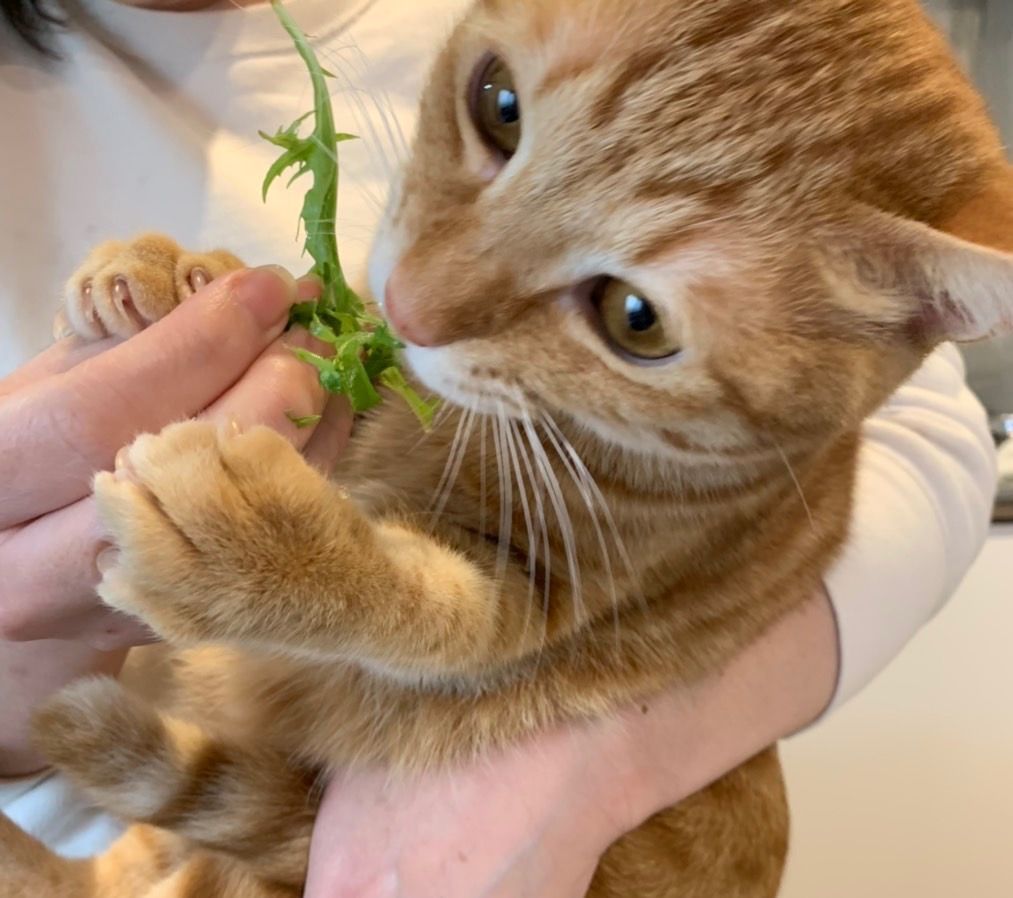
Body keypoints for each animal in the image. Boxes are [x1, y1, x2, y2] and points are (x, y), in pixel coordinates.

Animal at [3, 0, 1013, 896]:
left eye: (635, 321)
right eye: (498, 105)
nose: (409, 307)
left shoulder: (529, 602)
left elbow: (412, 605)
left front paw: (246, 547)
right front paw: (176, 278)